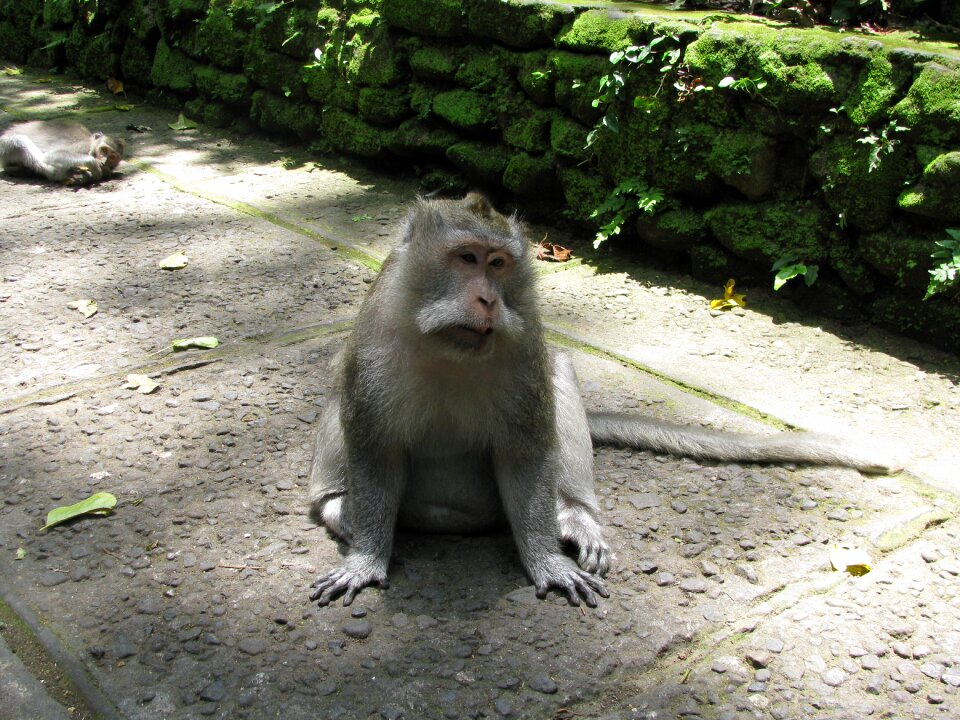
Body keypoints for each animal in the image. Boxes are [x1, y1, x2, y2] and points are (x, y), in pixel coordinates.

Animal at [310, 191, 900, 608]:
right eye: (467, 257)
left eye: (498, 265)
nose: (488, 299)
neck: (449, 347)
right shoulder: (373, 345)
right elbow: (375, 449)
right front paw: (366, 558)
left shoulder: (525, 346)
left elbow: (526, 454)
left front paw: (547, 560)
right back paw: (339, 508)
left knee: (561, 374)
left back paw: (574, 516)